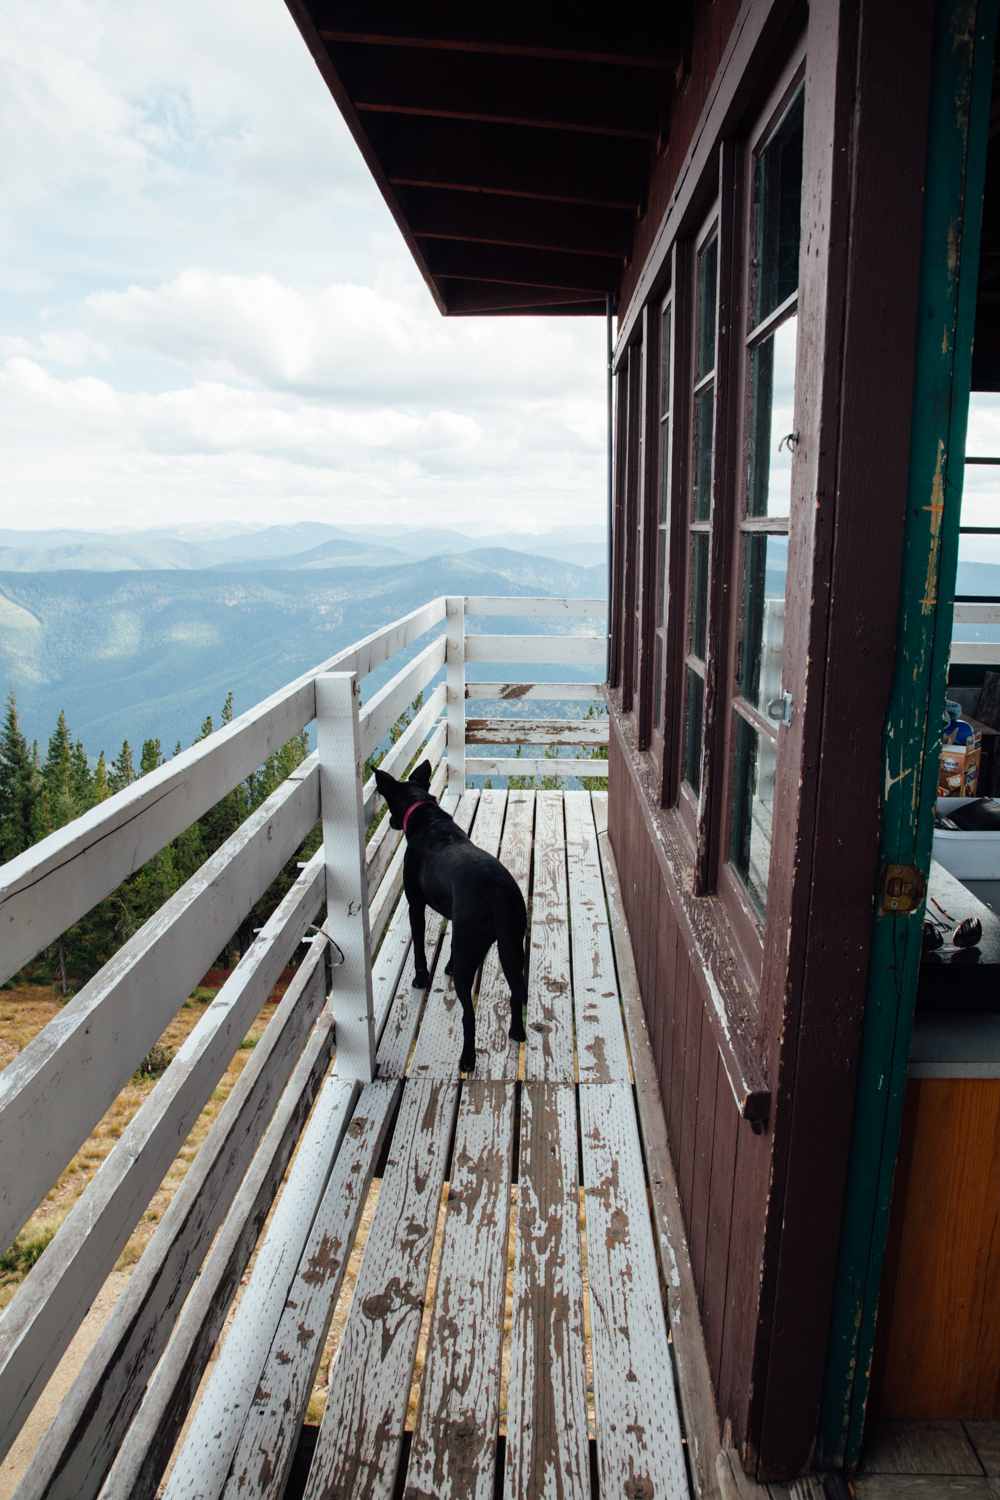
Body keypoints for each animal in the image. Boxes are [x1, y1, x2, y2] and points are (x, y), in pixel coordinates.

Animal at [373, 768, 527, 1074]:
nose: (392, 822)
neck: (426, 815)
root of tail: (497, 892)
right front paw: (447, 965)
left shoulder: (416, 905)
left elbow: (420, 948)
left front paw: (421, 978)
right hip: (512, 945)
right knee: (516, 991)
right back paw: (517, 1032)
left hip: (475, 952)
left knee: (469, 1014)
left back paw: (467, 1058)